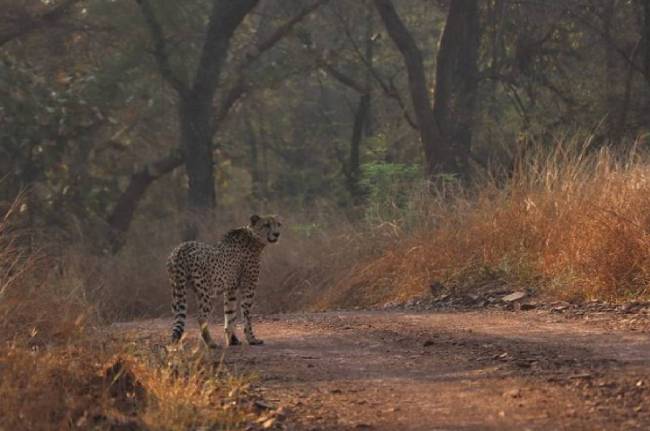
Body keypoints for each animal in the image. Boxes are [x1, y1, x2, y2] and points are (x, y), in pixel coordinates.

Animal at [167, 214, 281, 349]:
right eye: (266, 225)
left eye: (278, 224)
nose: (277, 234)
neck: (254, 238)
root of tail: (181, 248)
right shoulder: (248, 287)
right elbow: (246, 315)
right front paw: (252, 339)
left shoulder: (230, 289)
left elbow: (230, 314)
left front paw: (233, 341)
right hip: (206, 292)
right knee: (201, 317)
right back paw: (210, 343)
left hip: (177, 291)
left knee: (177, 317)